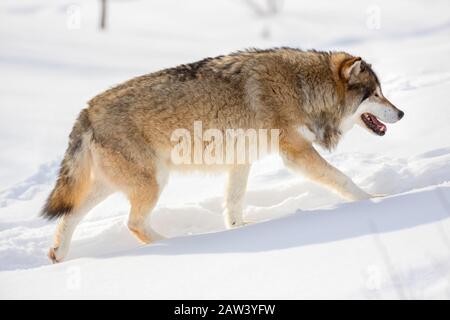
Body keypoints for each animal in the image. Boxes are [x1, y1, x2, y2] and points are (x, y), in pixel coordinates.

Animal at [42, 48, 404, 262]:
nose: (401, 113)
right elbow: (342, 179)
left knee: (69, 218)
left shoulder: (240, 161)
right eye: (375, 94)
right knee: (134, 223)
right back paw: (177, 245)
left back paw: (59, 255)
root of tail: (87, 111)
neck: (303, 88)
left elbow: (234, 204)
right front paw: (374, 200)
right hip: (153, 182)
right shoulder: (296, 153)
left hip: (111, 185)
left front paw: (239, 231)